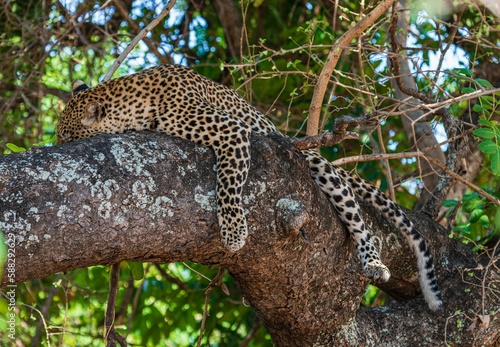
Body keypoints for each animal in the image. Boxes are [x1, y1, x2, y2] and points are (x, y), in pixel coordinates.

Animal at [56, 64, 444, 312]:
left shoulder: (231, 132)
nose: (54, 145)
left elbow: (229, 181)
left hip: (319, 167)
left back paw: (373, 260)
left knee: (357, 217)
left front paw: (233, 231)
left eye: (66, 136)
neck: (134, 101)